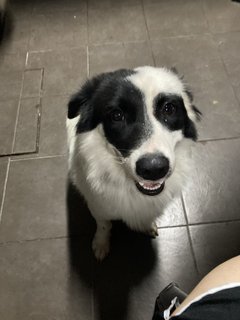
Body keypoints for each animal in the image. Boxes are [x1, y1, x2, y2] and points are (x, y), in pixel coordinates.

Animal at [66, 65, 201, 260]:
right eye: (117, 115)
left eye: (169, 109)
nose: (154, 169)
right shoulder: (98, 206)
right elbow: (104, 225)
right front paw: (101, 243)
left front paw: (147, 225)